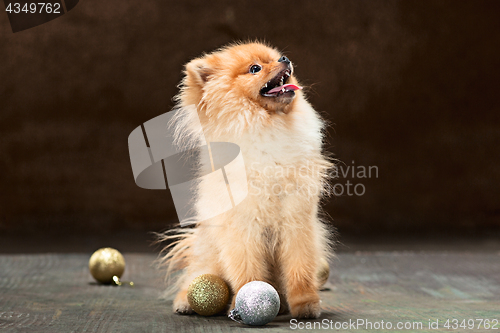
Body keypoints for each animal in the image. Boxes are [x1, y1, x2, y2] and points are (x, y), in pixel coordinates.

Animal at [162, 42, 332, 320]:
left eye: (276, 57)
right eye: (255, 68)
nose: (285, 58)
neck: (268, 127)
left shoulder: (296, 220)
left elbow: (300, 266)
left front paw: (305, 304)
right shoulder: (242, 226)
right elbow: (247, 269)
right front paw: (248, 298)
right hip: (207, 254)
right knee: (196, 275)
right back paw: (185, 301)